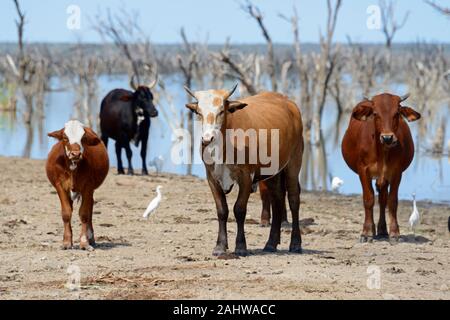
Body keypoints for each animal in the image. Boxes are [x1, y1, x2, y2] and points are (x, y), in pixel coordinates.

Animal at [46, 120, 109, 250]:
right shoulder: (60, 186)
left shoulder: (88, 187)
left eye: (83, 138)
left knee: (90, 208)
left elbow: (84, 214)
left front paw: (84, 242)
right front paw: (66, 242)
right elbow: (66, 213)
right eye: (65, 137)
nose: (75, 154)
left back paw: (91, 238)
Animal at [185, 86, 304, 256]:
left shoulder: (246, 177)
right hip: (272, 173)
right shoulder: (212, 178)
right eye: (199, 112)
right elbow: (222, 210)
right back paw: (271, 243)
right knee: (277, 199)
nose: (207, 139)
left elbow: (239, 209)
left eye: (221, 111)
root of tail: (289, 103)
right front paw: (220, 246)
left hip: (294, 163)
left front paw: (241, 246)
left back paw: (295, 244)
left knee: (294, 199)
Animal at [342, 94, 420, 241]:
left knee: (383, 199)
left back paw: (383, 230)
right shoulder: (363, 171)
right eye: (375, 114)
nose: (387, 137)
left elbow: (392, 201)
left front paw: (394, 232)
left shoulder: (396, 172)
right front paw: (366, 232)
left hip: (383, 178)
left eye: (396, 114)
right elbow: (368, 199)